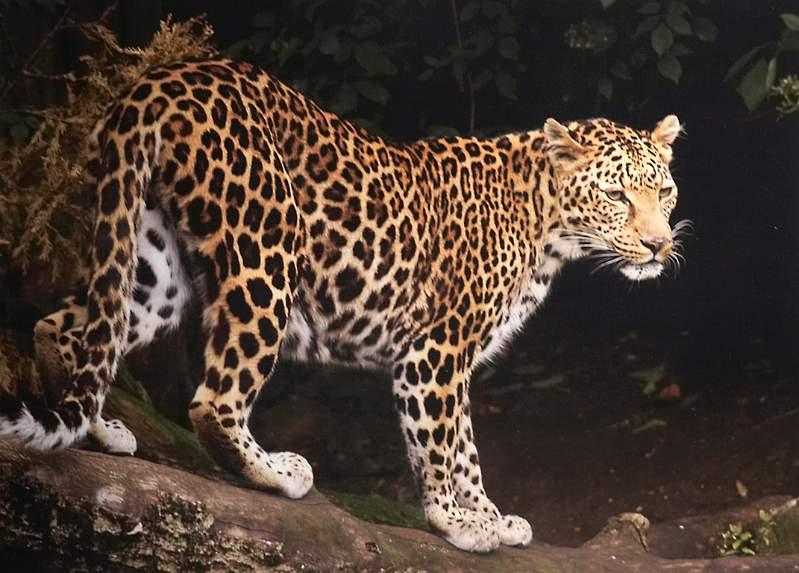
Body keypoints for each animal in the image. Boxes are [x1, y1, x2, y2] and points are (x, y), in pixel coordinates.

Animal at [0, 58, 687, 553]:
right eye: (617, 196)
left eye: (665, 191)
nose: (658, 245)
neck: (549, 228)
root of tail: (161, 79)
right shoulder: (433, 351)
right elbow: (441, 445)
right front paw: (457, 523)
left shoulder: (453, 360)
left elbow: (466, 447)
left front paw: (492, 516)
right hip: (266, 253)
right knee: (213, 401)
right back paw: (275, 472)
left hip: (154, 266)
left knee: (68, 324)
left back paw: (97, 425)